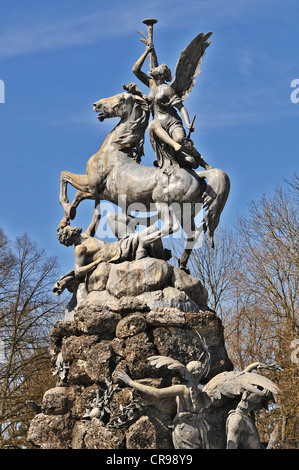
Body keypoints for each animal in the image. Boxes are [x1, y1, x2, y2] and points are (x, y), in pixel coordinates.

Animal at [59, 87, 232, 270]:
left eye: (120, 98)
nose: (95, 105)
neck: (113, 149)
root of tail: (198, 175)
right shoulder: (98, 192)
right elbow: (81, 197)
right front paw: (68, 219)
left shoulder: (91, 185)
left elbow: (64, 177)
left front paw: (68, 210)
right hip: (185, 212)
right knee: (192, 234)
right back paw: (182, 264)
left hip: (163, 203)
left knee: (170, 226)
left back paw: (141, 247)